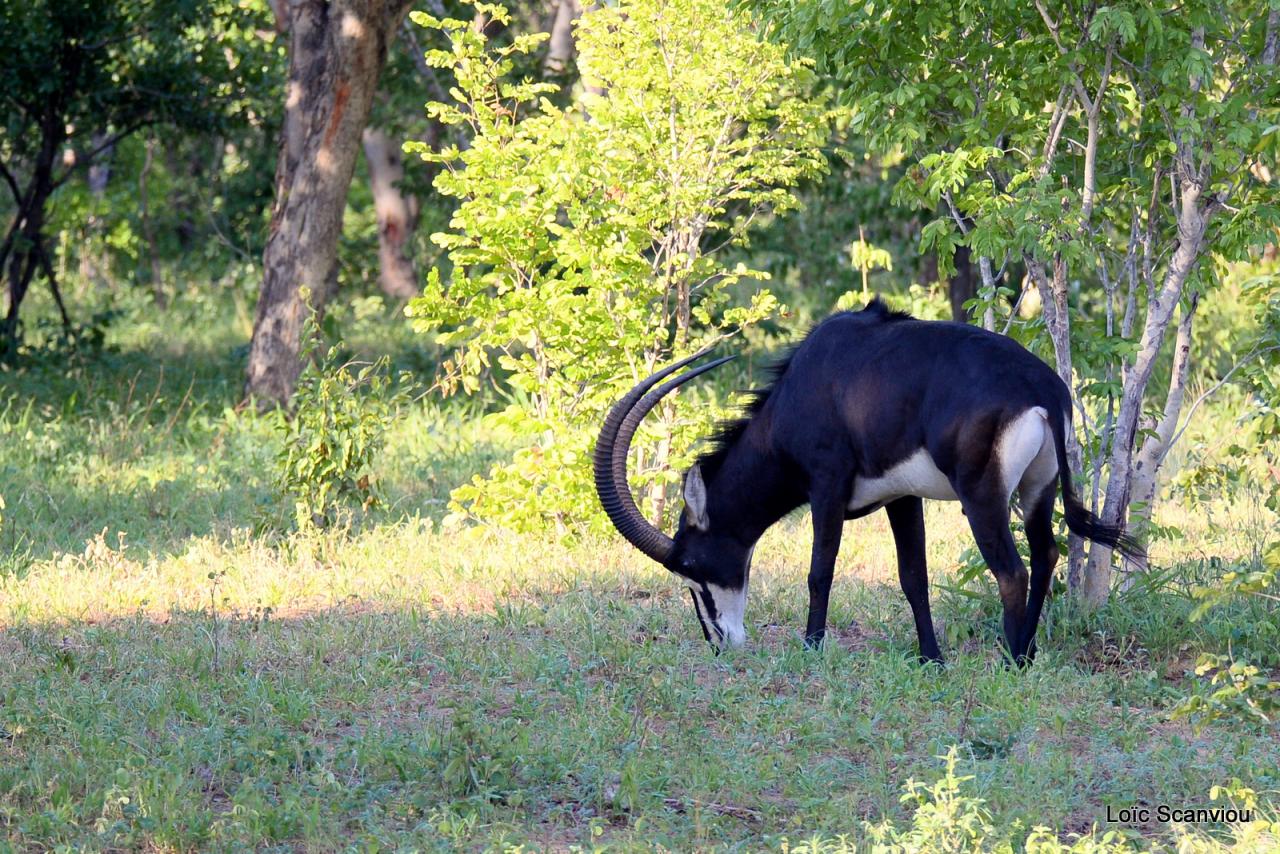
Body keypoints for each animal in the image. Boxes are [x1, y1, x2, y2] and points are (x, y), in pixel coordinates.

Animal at [593, 300, 1146, 665]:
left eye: (689, 566)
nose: (720, 643)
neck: (800, 387)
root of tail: (1042, 390)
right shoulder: (902, 497)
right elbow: (913, 577)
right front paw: (930, 658)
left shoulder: (826, 487)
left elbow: (820, 571)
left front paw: (812, 647)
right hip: (1037, 490)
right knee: (1047, 553)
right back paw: (1027, 653)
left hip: (981, 496)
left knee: (1012, 572)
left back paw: (1011, 660)